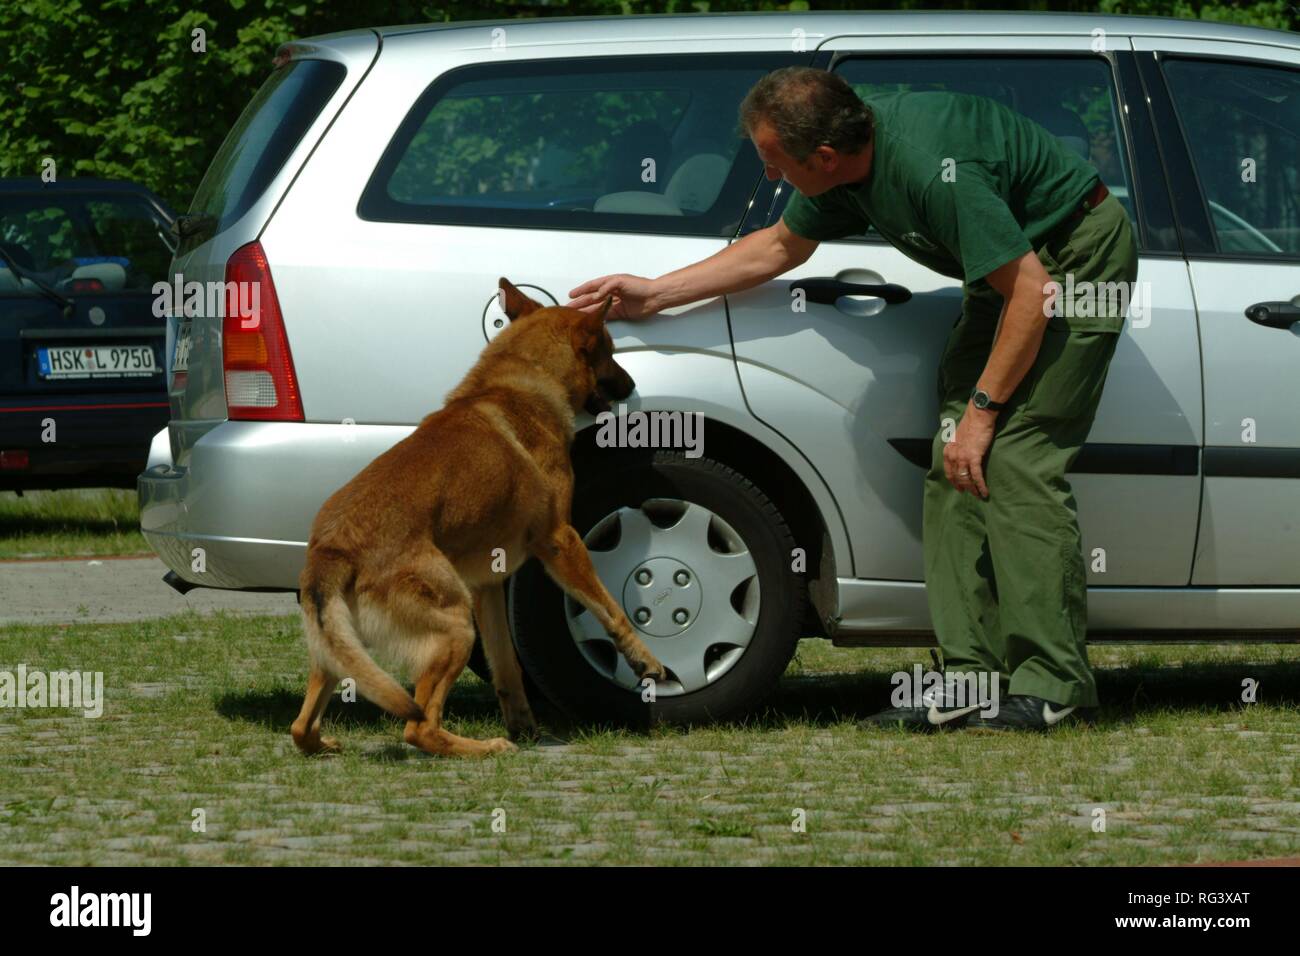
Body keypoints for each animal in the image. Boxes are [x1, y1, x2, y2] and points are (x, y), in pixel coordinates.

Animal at [291, 280, 665, 759]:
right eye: (612, 352)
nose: (632, 385)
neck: (519, 383)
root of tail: (334, 548)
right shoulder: (561, 541)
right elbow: (611, 610)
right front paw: (645, 661)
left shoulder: (488, 585)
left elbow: (506, 668)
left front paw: (526, 726)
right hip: (455, 623)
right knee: (418, 727)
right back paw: (485, 746)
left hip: (345, 647)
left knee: (301, 726)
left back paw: (326, 742)